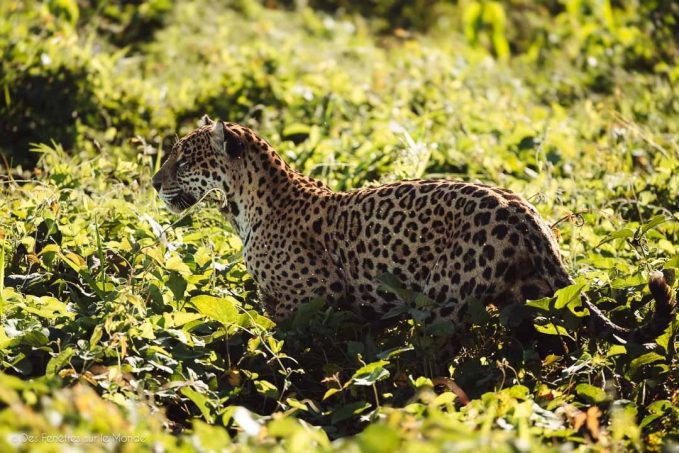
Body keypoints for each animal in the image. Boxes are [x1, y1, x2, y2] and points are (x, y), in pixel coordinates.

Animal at [152, 115, 675, 350]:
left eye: (184, 158)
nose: (155, 183)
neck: (244, 206)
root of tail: (528, 217)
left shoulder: (311, 302)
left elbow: (274, 337)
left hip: (440, 301)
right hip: (530, 299)